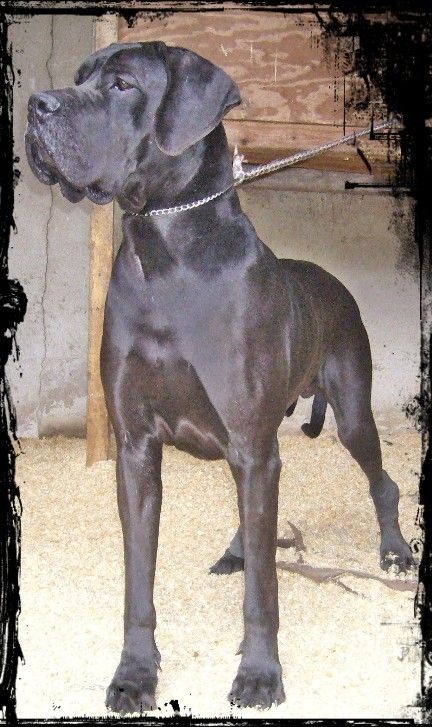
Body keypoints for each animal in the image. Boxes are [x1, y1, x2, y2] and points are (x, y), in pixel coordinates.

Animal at [25, 41, 414, 713]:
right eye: (79, 78)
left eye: (123, 85)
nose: (35, 105)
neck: (165, 254)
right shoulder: (137, 447)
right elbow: (138, 582)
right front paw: (135, 673)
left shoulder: (252, 445)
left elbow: (264, 591)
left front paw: (259, 675)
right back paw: (237, 547)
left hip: (349, 412)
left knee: (380, 480)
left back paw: (393, 550)